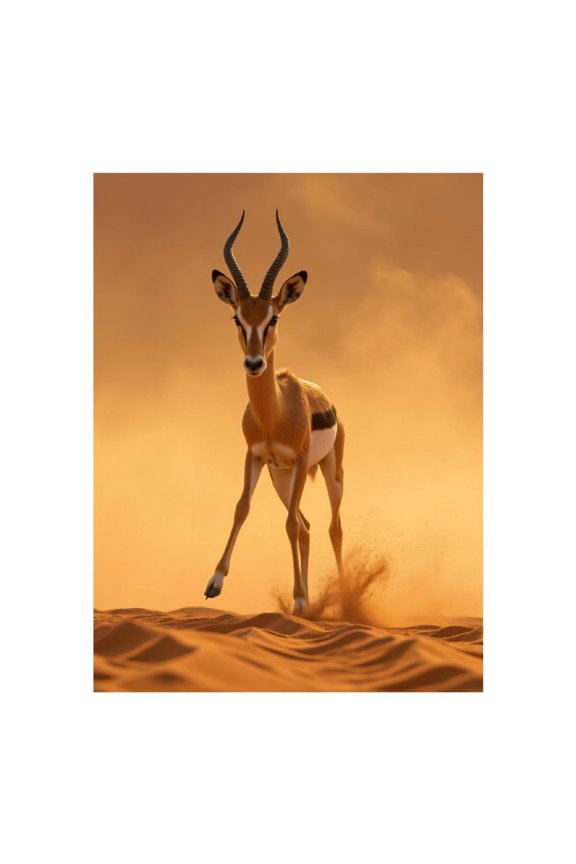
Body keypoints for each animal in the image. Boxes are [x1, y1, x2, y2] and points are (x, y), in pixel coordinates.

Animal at [204, 211, 345, 615]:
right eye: (237, 318)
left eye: (274, 319)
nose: (254, 363)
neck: (275, 414)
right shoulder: (254, 457)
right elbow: (241, 508)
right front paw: (214, 583)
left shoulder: (298, 460)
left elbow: (289, 527)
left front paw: (297, 598)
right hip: (280, 477)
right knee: (307, 525)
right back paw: (311, 602)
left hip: (329, 471)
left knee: (331, 528)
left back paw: (342, 601)